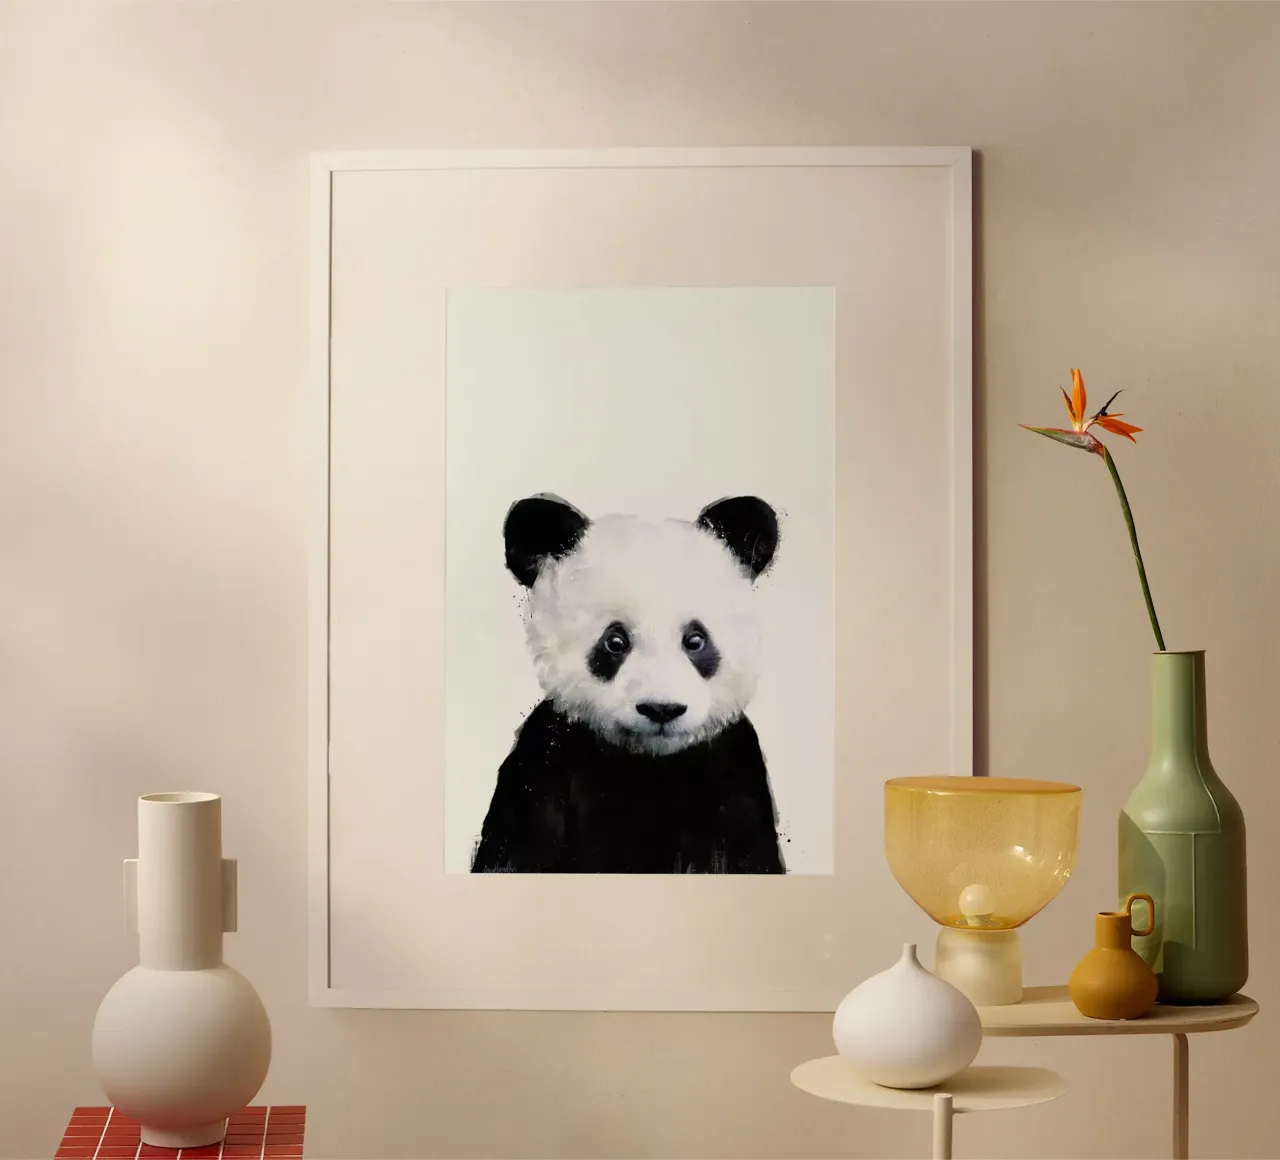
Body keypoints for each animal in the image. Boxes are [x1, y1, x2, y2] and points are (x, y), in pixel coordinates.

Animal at [470, 493, 787, 875]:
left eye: (695, 640)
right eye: (615, 642)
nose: (662, 709)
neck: (648, 763)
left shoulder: (735, 772)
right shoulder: (544, 763)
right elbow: (513, 854)